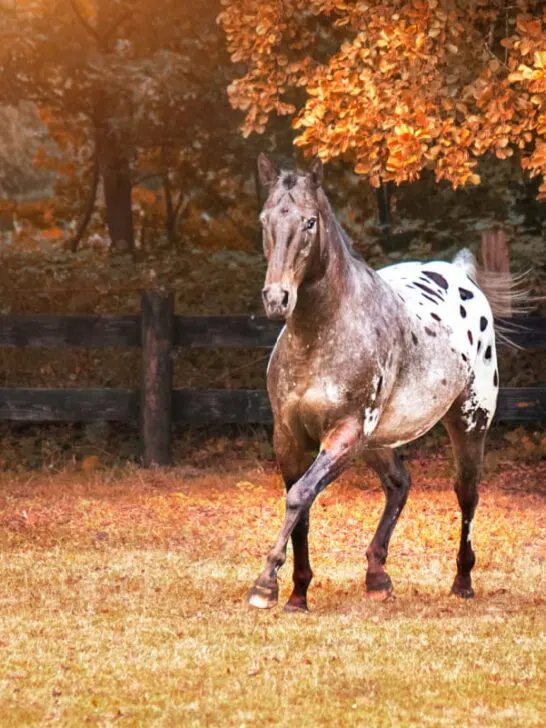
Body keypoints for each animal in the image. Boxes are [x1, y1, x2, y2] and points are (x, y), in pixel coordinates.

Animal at [248, 153, 514, 613]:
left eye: (310, 221)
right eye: (266, 219)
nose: (277, 298)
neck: (319, 336)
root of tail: (459, 274)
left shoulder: (345, 433)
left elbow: (300, 496)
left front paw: (266, 585)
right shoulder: (289, 437)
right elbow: (301, 507)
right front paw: (297, 593)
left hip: (468, 424)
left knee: (467, 494)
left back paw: (462, 582)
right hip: (379, 440)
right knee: (399, 485)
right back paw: (377, 577)